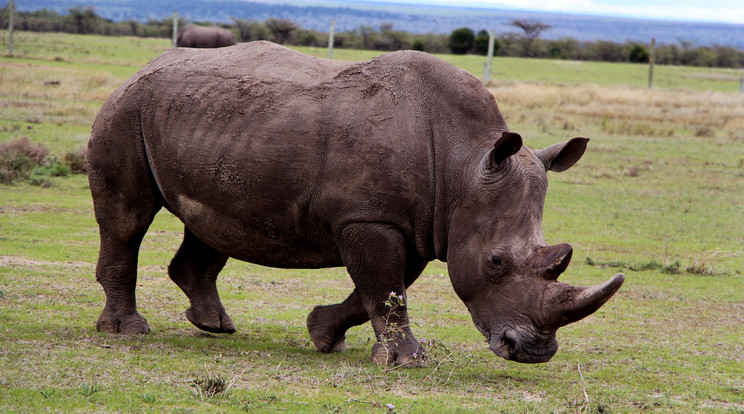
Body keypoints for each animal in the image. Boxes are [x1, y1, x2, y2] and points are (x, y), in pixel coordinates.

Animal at [87, 42, 620, 366]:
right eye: (495, 262)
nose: (531, 351)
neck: (465, 160)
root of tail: (141, 68)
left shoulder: (417, 223)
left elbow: (383, 289)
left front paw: (323, 334)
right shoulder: (370, 217)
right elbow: (385, 288)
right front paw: (408, 362)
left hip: (207, 122)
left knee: (209, 224)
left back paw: (214, 325)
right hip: (126, 111)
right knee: (127, 219)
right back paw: (126, 331)